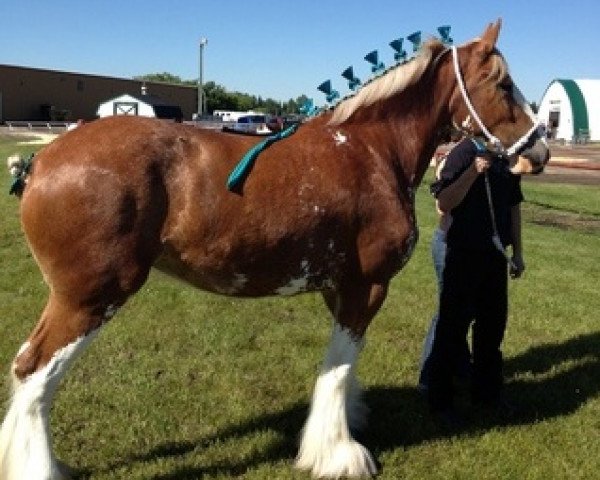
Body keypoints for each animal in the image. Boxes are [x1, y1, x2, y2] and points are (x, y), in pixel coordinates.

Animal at [0, 21, 548, 480]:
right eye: (503, 83)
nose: (539, 149)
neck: (371, 150)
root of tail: (41, 160)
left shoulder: (338, 289)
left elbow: (342, 369)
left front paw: (348, 419)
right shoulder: (366, 286)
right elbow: (338, 368)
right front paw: (339, 453)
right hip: (89, 297)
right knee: (33, 371)